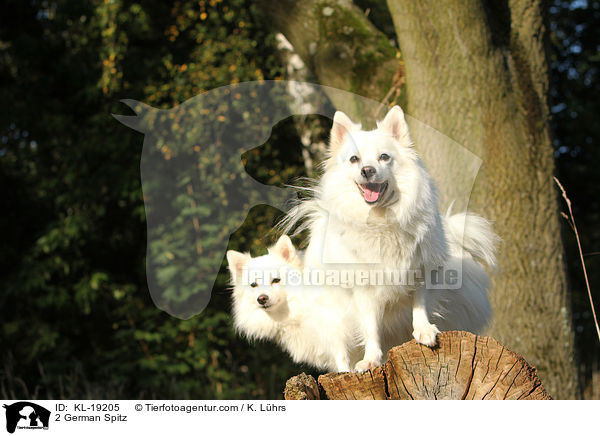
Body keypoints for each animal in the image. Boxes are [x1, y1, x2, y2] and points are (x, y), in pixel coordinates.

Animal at [282, 105, 496, 372]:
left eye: (384, 157)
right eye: (354, 160)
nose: (367, 170)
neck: (382, 220)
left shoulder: (420, 272)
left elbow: (420, 305)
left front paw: (424, 331)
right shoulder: (365, 290)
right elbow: (371, 328)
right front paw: (371, 359)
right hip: (334, 318)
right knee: (340, 350)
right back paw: (346, 370)